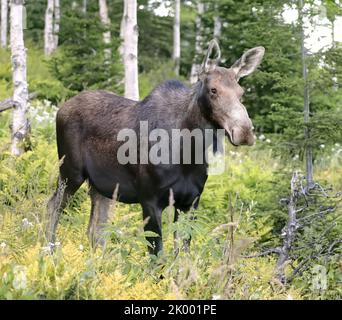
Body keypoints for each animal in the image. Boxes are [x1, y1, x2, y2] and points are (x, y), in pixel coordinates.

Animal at [46, 40, 264, 255]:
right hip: (70, 171)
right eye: (213, 90)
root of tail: (61, 108)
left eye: (241, 93)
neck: (188, 154)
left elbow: (182, 255)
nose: (244, 131)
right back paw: (49, 251)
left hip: (102, 185)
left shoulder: (190, 202)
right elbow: (157, 256)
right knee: (53, 206)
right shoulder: (150, 200)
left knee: (96, 229)